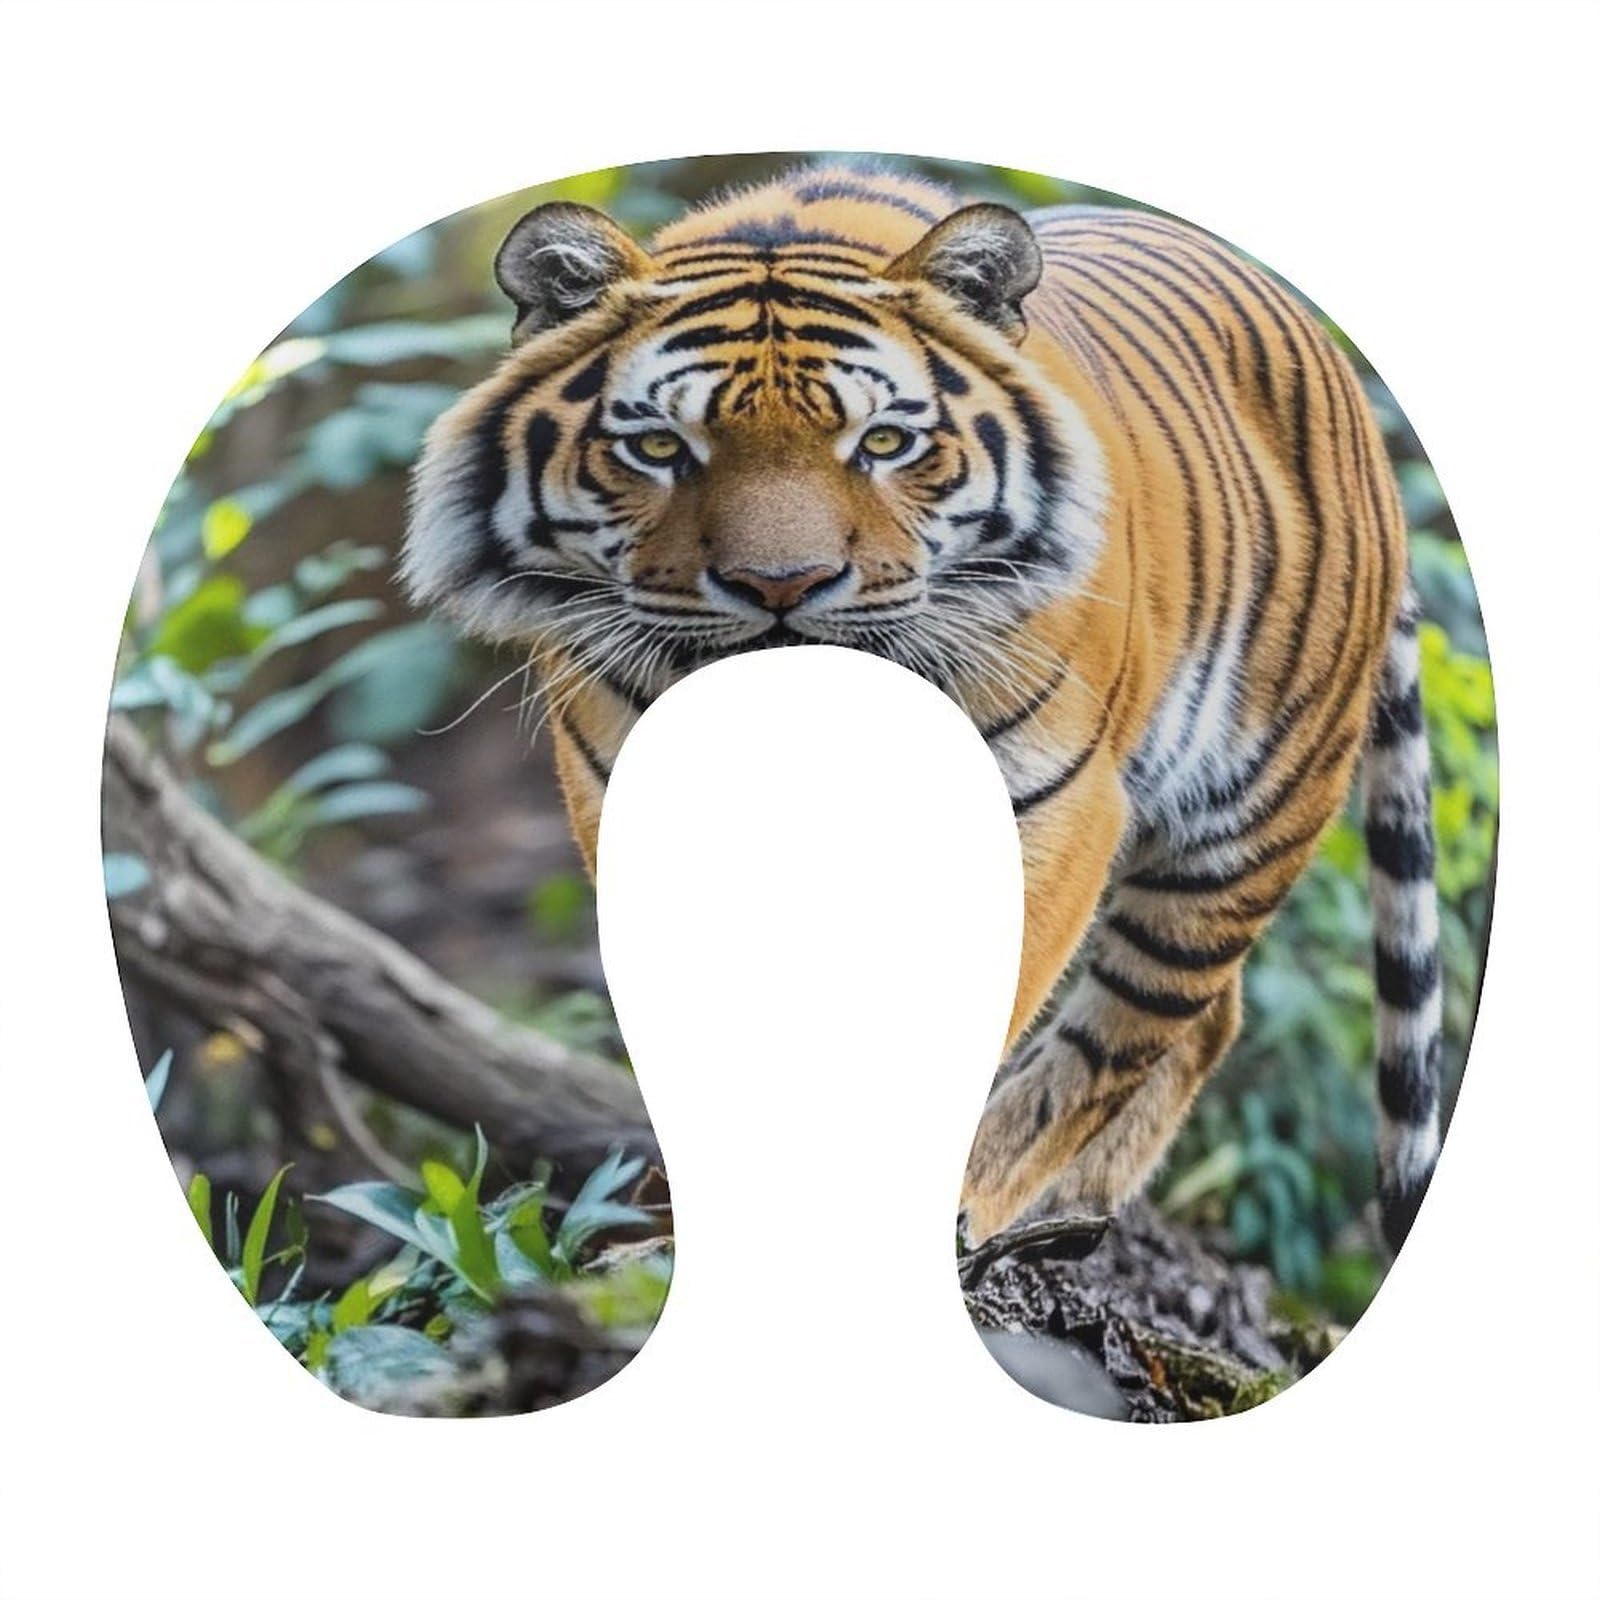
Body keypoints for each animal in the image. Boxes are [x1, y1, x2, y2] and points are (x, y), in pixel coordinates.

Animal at [404, 164, 1444, 1256]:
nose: (781, 584)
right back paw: (1075, 1216)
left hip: (1246, 820)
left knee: (1137, 1025)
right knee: (1209, 1022)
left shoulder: (1047, 802)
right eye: (656, 445)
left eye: (885, 442)